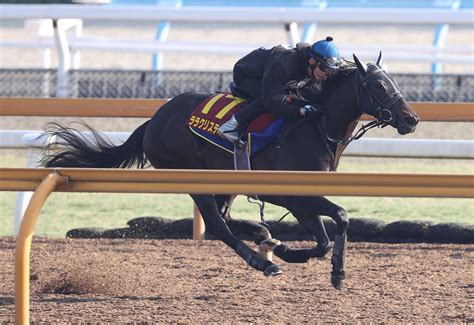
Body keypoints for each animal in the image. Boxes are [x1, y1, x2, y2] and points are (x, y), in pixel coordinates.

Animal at [40, 54, 418, 290]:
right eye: (379, 86)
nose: (411, 119)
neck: (316, 125)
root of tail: (154, 120)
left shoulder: (301, 198)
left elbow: (323, 238)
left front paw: (298, 254)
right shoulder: (292, 193)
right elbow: (339, 216)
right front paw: (329, 269)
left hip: (225, 181)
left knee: (226, 219)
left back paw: (265, 238)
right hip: (194, 179)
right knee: (218, 225)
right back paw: (263, 261)